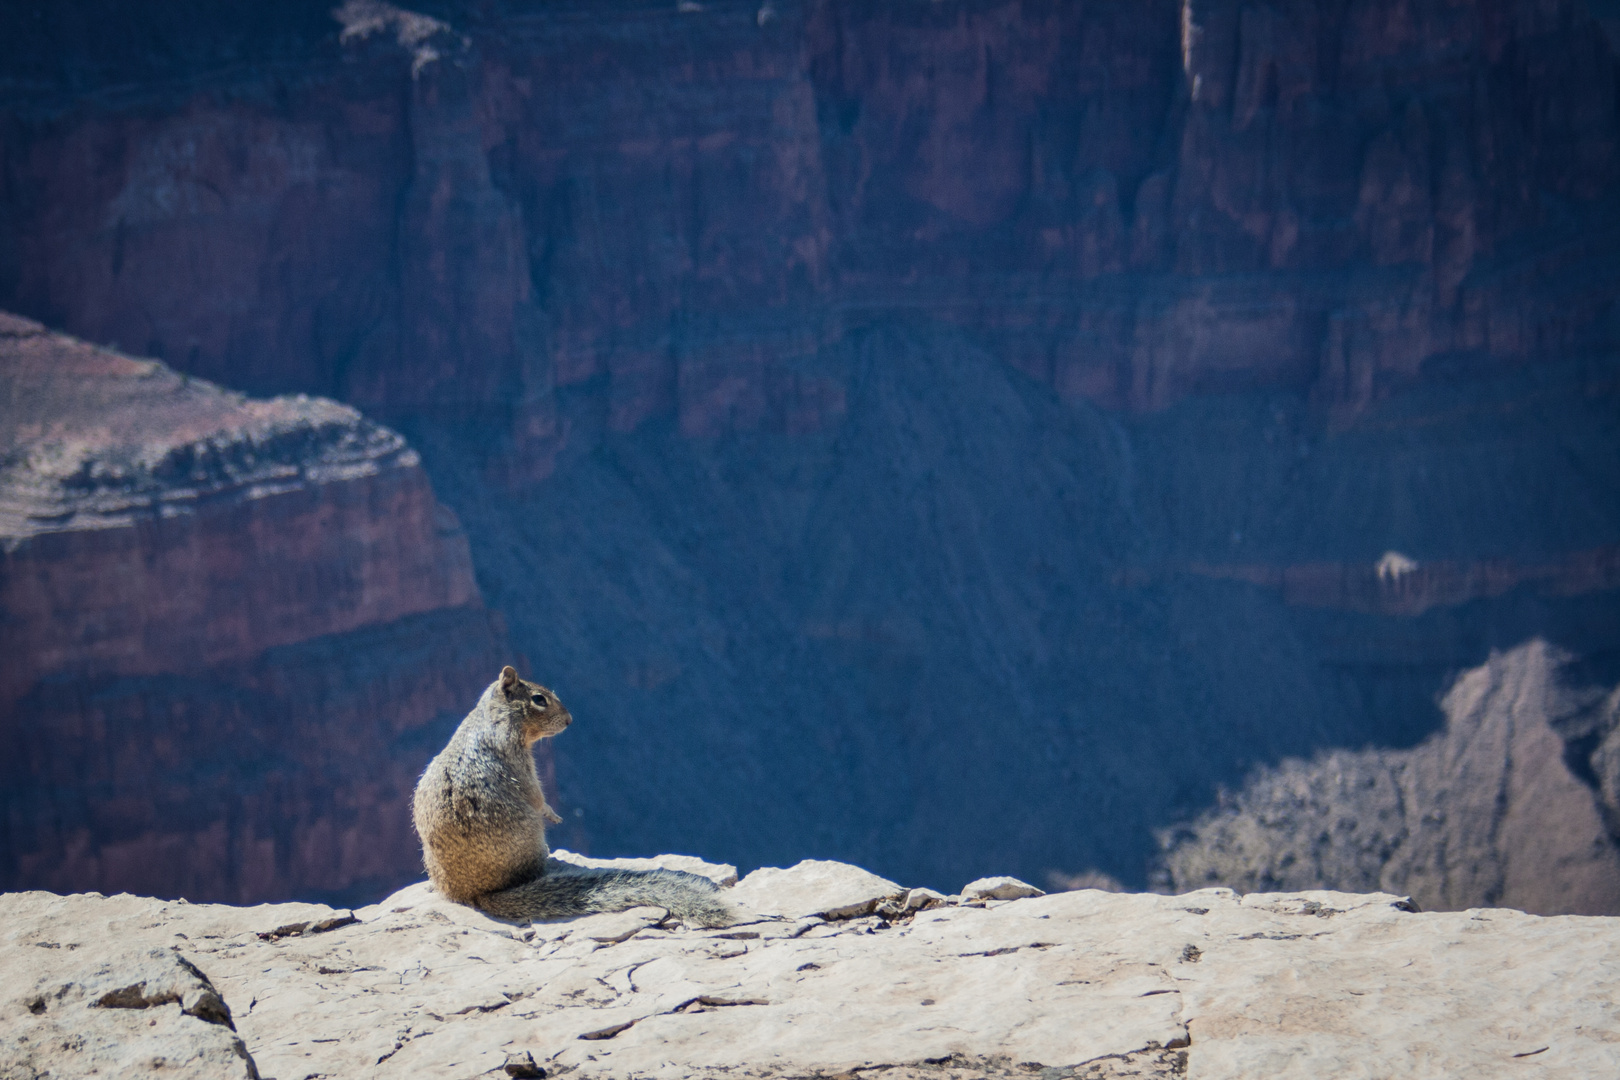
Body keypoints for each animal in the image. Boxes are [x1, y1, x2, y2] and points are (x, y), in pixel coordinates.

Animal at [411, 667, 735, 932]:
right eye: (539, 699)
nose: (569, 720)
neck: (492, 718)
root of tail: (476, 893)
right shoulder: (520, 762)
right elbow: (536, 795)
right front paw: (552, 813)